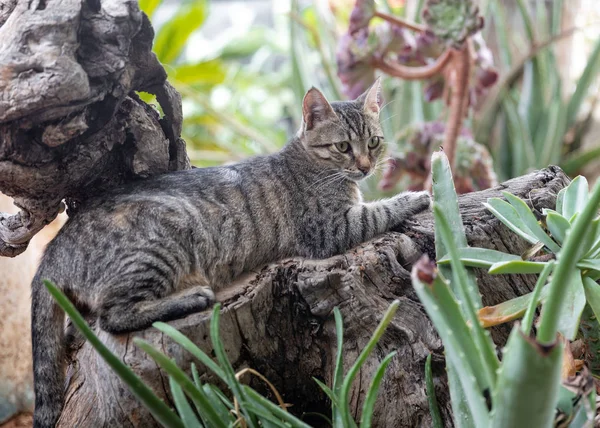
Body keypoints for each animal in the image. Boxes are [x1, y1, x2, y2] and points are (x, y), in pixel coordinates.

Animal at [30, 78, 432, 426]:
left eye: (374, 142)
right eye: (343, 147)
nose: (365, 166)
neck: (311, 164)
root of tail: (52, 251)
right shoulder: (329, 229)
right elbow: (377, 211)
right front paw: (415, 197)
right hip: (162, 241)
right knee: (112, 316)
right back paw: (189, 297)